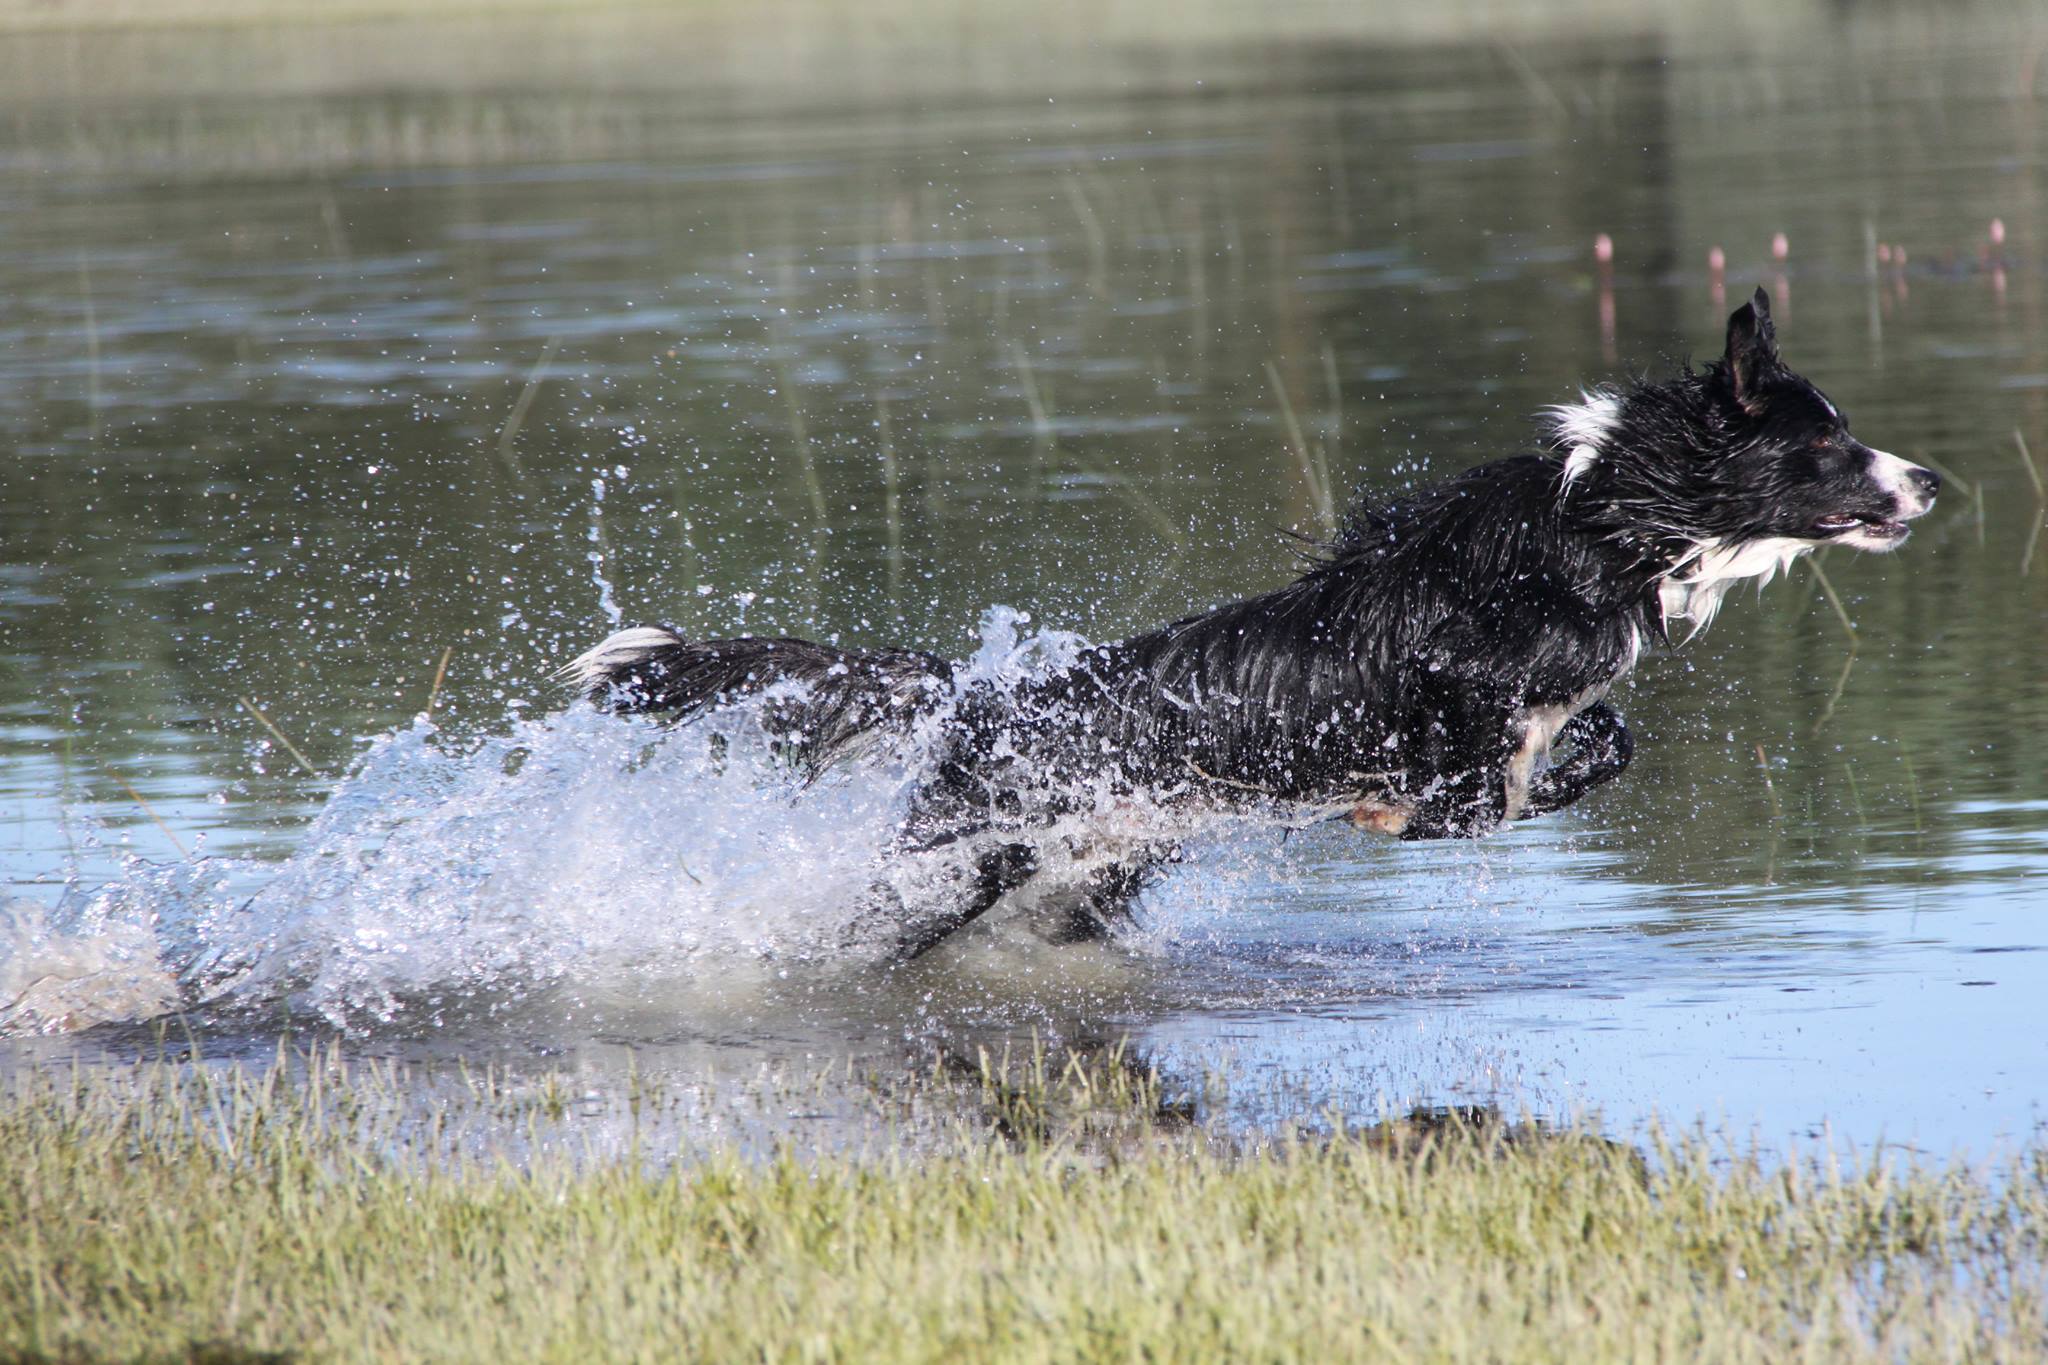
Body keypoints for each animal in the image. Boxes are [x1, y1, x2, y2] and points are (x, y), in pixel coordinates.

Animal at [561, 294, 1933, 961]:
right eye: (1824, 442)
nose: (1926, 481)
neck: (1597, 522)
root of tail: (976, 698)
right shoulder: (1449, 690)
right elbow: (1471, 790)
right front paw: (1416, 814)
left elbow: (1596, 748)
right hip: (951, 869)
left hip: (1079, 881)